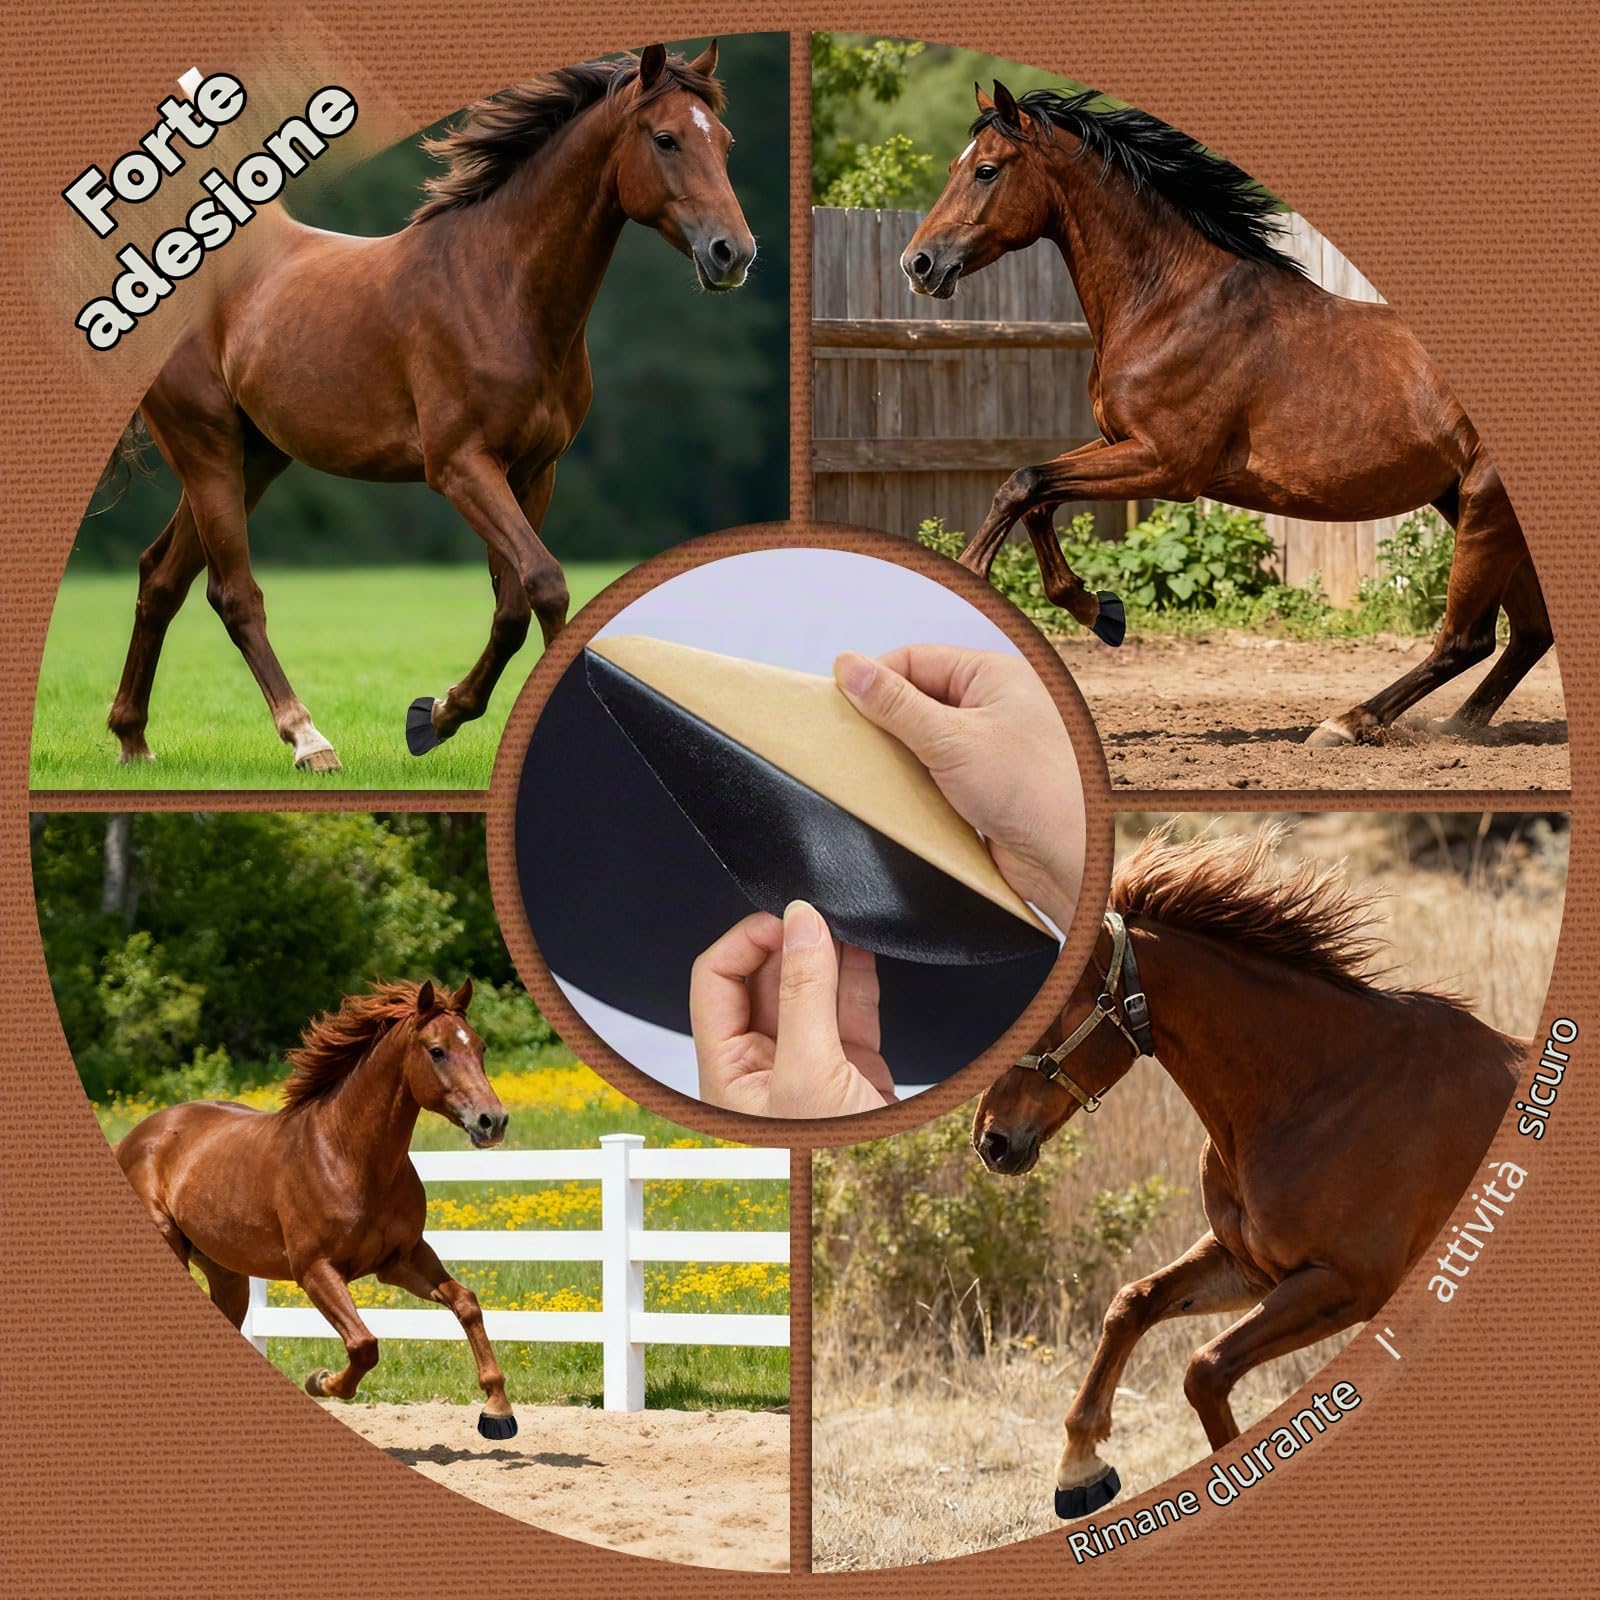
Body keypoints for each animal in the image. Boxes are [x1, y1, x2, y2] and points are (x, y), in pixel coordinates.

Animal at [103, 43, 755, 773]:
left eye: (724, 141)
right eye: (666, 138)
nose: (733, 253)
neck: (499, 290)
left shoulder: (534, 472)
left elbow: (513, 605)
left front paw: (436, 715)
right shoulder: (460, 467)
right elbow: (545, 582)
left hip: (256, 457)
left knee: (162, 576)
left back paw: (133, 739)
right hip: (206, 444)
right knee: (234, 594)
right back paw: (308, 740)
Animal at [115, 978, 521, 1438]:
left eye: (481, 1047)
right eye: (437, 1051)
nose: (492, 1121)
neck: (350, 1158)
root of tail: (136, 1137)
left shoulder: (401, 1260)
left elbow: (466, 1303)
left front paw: (497, 1410)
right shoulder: (315, 1270)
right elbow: (364, 1345)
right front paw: (320, 1381)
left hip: (227, 1272)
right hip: (171, 1246)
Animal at [902, 83, 1549, 747]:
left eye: (986, 170)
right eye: (953, 166)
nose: (919, 264)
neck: (1170, 302)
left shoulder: (1168, 466)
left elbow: (1023, 484)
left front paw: (969, 585)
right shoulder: (1119, 441)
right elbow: (1033, 495)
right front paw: (1100, 610)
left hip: (1484, 505)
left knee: (1467, 638)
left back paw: (1346, 724)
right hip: (1470, 505)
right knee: (1527, 633)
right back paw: (1457, 727)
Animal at [970, 827, 1525, 1518]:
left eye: (1052, 1008)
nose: (991, 1140)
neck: (1317, 1089)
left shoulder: (1344, 1284)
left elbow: (1204, 1369)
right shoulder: (1251, 1267)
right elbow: (1131, 1304)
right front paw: (1080, 1468)